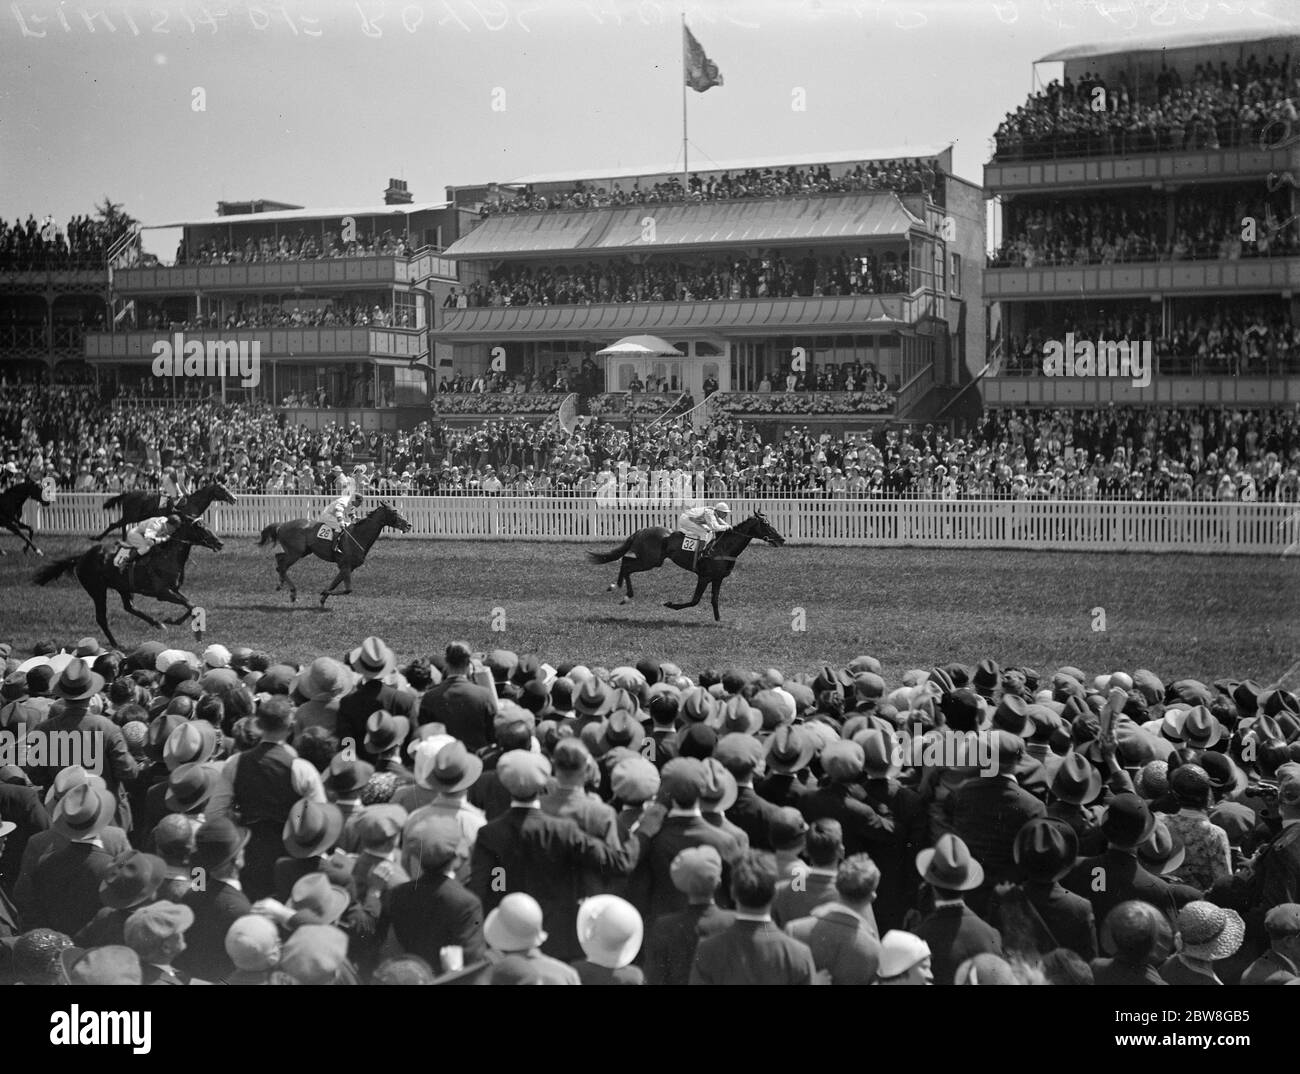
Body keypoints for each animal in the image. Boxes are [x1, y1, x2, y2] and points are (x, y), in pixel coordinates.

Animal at [34, 514, 223, 647]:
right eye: (200, 527)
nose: (220, 543)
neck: (167, 556)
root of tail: (81, 558)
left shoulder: (174, 590)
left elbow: (192, 604)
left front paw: (172, 621)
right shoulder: (162, 592)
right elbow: (190, 604)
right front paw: (173, 621)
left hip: (122, 587)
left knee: (129, 607)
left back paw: (156, 623)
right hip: (97, 590)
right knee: (101, 617)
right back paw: (115, 643)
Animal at [91, 481, 239, 540]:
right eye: (223, 489)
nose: (234, 498)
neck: (192, 502)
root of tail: (128, 494)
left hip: (134, 516)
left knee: (121, 526)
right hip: (132, 515)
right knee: (114, 525)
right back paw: (97, 537)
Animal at [256, 499, 408, 603]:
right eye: (393, 511)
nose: (409, 525)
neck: (359, 535)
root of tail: (281, 525)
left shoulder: (348, 567)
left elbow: (335, 584)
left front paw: (324, 596)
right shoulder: (345, 565)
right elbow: (348, 589)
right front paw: (324, 593)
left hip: (302, 552)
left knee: (279, 559)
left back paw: (280, 584)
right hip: (295, 553)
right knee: (282, 566)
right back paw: (292, 591)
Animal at [587, 509, 780, 618]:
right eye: (765, 524)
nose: (782, 539)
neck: (724, 547)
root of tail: (642, 529)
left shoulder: (718, 578)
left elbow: (714, 600)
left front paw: (718, 619)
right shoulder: (704, 577)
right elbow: (695, 601)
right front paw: (670, 604)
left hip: (651, 560)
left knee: (625, 560)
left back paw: (618, 587)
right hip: (650, 560)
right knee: (627, 565)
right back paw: (623, 592)